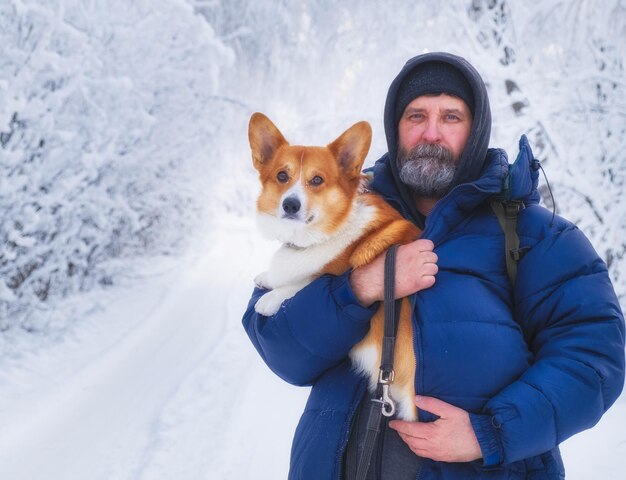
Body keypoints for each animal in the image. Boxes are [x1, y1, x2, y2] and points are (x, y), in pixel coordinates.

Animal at [247, 113, 420, 420]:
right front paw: (266, 277)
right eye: (282, 176)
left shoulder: (335, 271)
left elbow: (310, 279)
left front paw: (269, 299)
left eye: (317, 180)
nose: (290, 205)